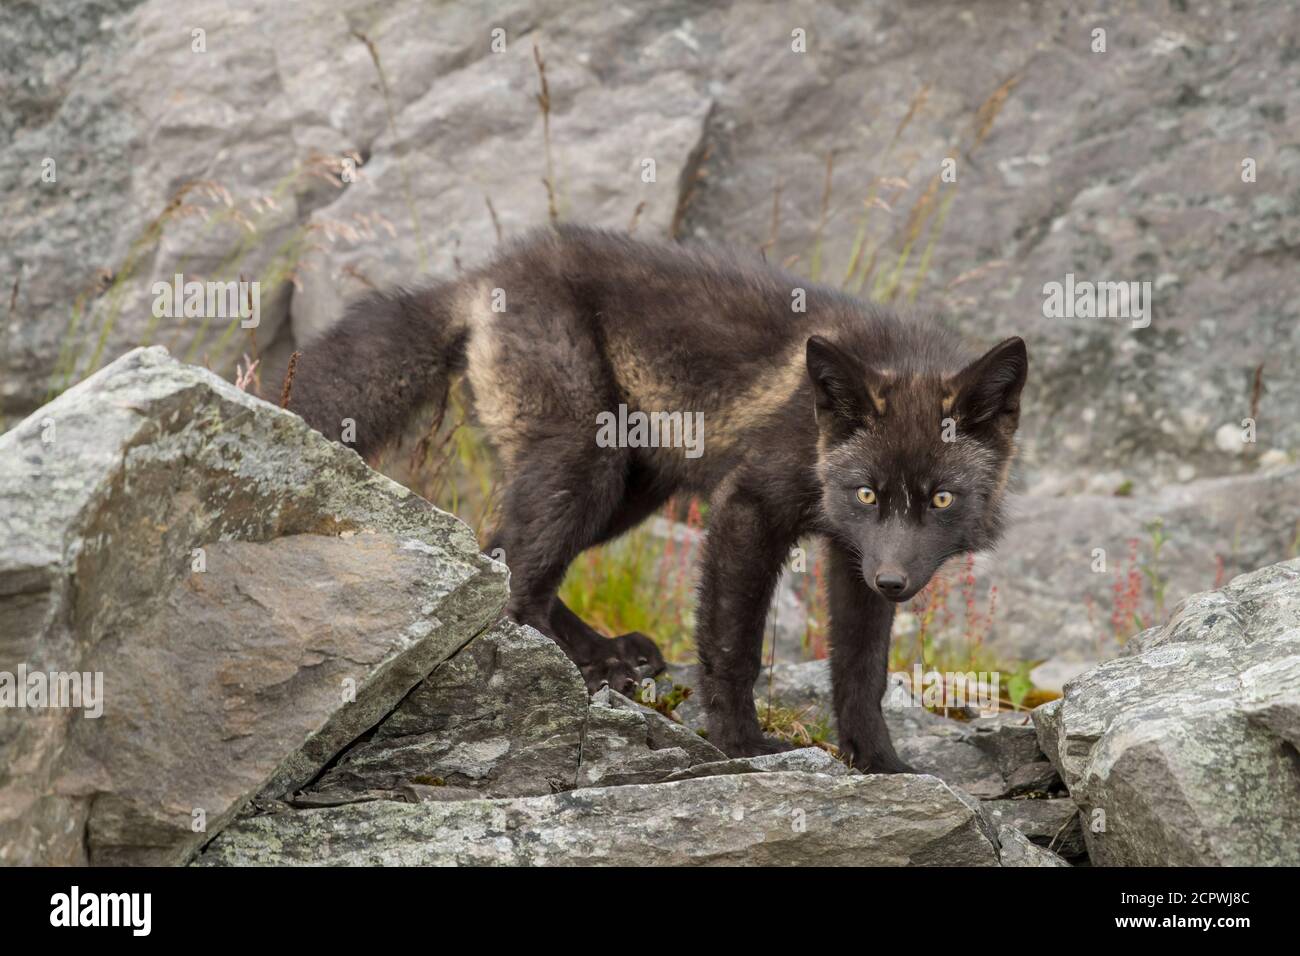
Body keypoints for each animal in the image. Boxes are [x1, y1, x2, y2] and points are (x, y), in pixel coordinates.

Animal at [284, 226, 1024, 780]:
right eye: (868, 491)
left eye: (942, 498)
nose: (895, 581)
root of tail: (488, 273)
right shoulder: (749, 508)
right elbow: (733, 647)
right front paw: (741, 746)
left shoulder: (852, 556)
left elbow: (862, 672)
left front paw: (879, 763)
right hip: (587, 469)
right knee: (515, 584)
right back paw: (571, 681)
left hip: (629, 493)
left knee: (499, 558)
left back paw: (605, 656)